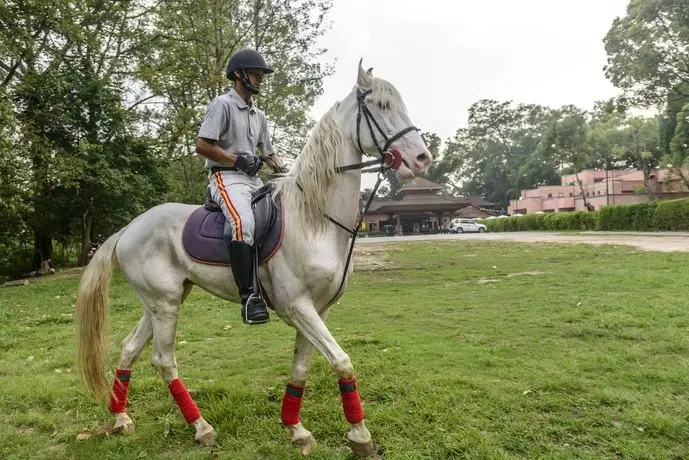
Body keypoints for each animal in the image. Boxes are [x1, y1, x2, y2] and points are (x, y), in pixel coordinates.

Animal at [75, 60, 430, 456]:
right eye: (382, 106)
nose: (422, 159)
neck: (315, 219)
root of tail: (128, 229)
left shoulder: (318, 310)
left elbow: (301, 369)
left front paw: (296, 429)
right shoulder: (298, 307)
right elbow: (342, 362)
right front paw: (360, 436)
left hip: (165, 299)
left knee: (129, 348)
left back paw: (121, 418)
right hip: (165, 303)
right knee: (163, 360)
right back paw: (201, 427)